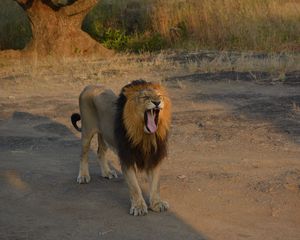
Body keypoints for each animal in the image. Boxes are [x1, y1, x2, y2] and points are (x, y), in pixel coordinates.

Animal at [70, 79, 172, 217]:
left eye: (159, 96)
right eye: (145, 97)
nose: (157, 102)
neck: (145, 135)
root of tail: (89, 86)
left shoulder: (154, 157)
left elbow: (156, 184)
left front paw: (157, 204)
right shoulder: (126, 158)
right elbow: (134, 186)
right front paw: (139, 207)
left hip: (105, 134)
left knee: (100, 152)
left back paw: (107, 173)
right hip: (87, 130)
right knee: (83, 154)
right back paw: (83, 176)